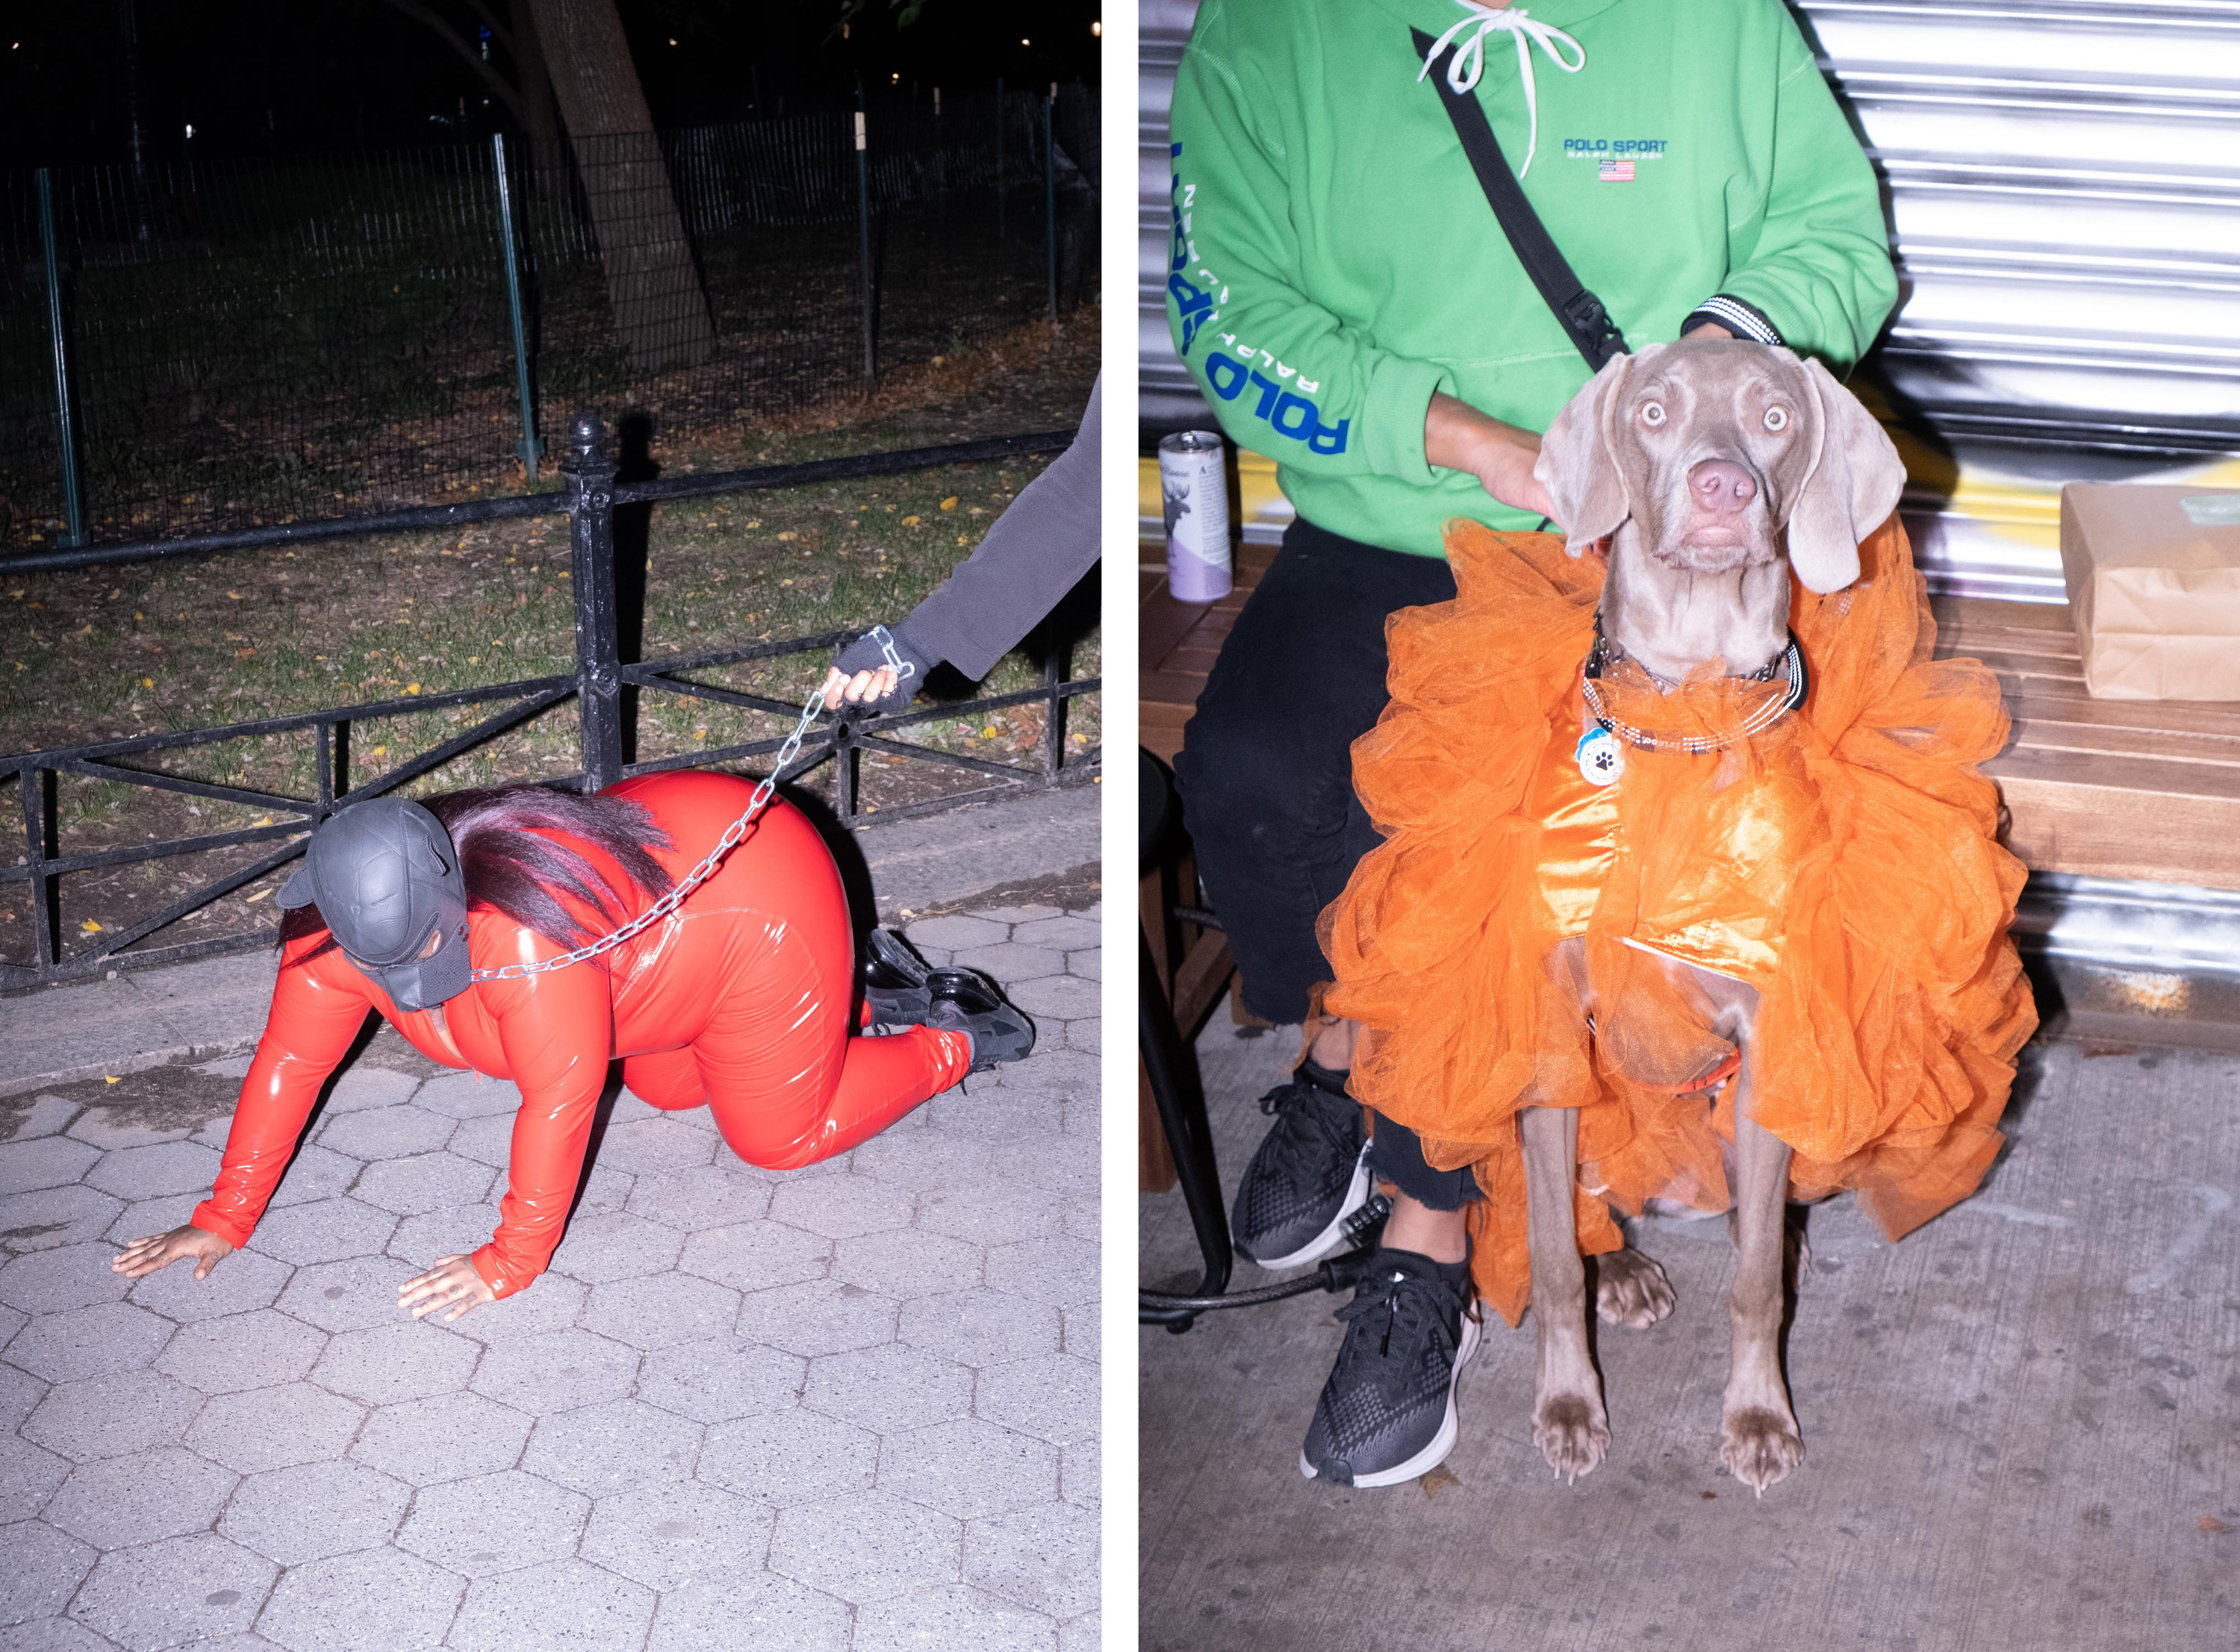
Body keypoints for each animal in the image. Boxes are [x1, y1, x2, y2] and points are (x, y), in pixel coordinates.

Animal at [1523, 337, 1908, 1495]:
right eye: (1653, 410)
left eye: (1775, 416)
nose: (1722, 491)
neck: (1688, 717)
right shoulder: (1550, 1041)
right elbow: (1549, 1258)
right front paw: (1569, 1401)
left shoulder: (1773, 1035)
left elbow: (1753, 1287)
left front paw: (1757, 1416)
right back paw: (1623, 1266)